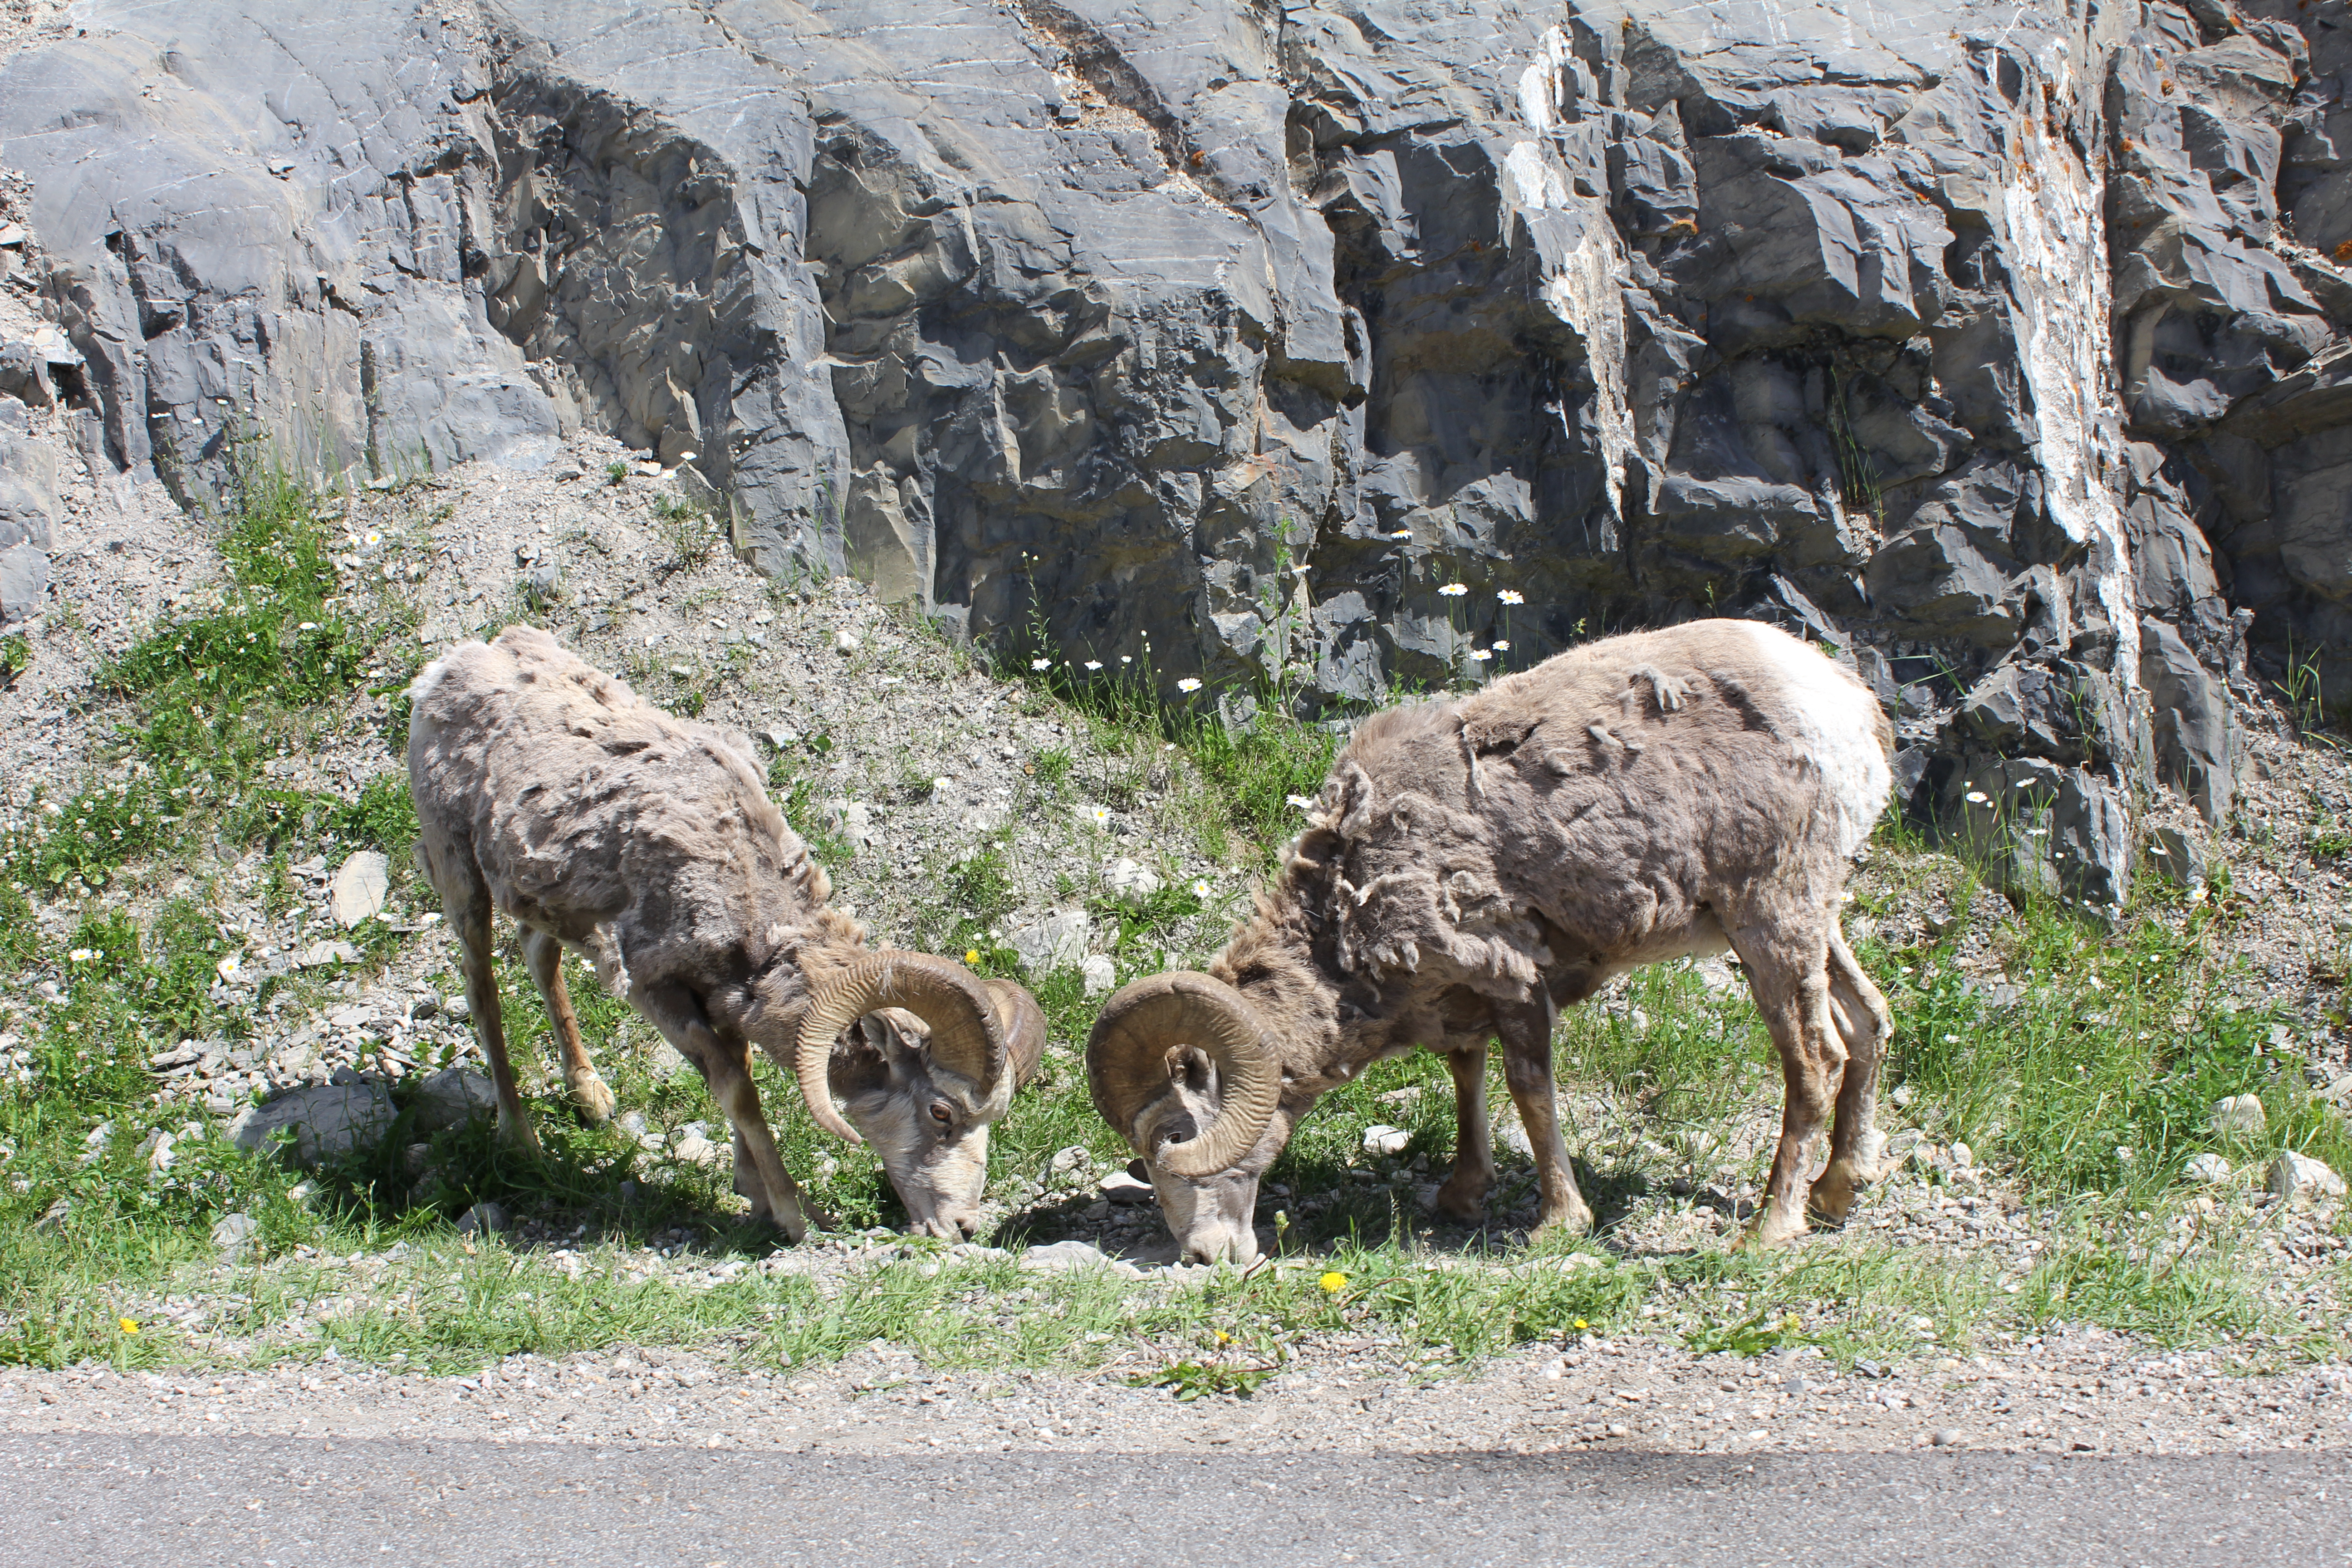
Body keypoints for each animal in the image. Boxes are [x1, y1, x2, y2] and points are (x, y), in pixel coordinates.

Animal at [409, 620, 1044, 1241]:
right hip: (460, 875)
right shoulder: (656, 991)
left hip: (550, 905)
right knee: (483, 992)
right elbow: (738, 1089)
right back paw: (520, 1140)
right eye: (942, 1113)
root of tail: (453, 666)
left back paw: (590, 1098)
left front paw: (754, 1194)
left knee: (539, 956)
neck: (738, 883)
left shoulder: (721, 998)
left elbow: (731, 1074)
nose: (961, 1227)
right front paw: (795, 1217)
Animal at [1082, 620, 1891, 1269]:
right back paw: (1837, 1195)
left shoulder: (1513, 977)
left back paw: (1771, 1230)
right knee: (1870, 1021)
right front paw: (1462, 1195)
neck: (1353, 895)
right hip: (1813, 923)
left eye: (1176, 1137)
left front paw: (1558, 1224)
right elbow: (1464, 1076)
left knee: (1817, 1061)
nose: (1202, 1256)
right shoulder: (1459, 996)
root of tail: (1846, 708)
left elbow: (1529, 1091)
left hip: (1772, 917)